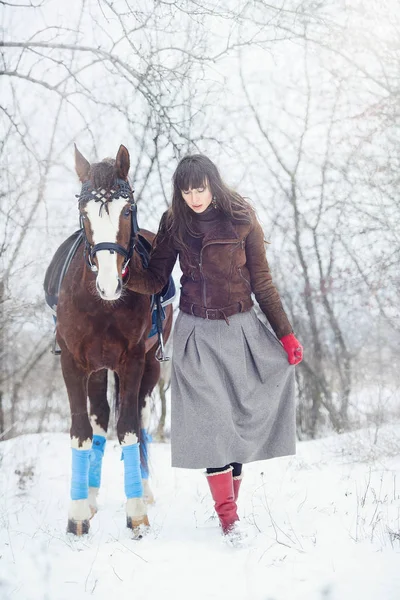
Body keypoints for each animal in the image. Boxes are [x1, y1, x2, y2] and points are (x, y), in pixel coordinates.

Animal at [52, 146, 173, 540]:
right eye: (83, 212)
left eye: (127, 210)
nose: (109, 284)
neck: (101, 305)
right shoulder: (73, 363)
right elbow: (82, 431)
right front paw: (77, 515)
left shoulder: (132, 361)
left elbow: (131, 429)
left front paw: (136, 513)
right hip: (95, 369)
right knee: (100, 420)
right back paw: (89, 495)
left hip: (148, 368)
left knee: (141, 417)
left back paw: (144, 489)